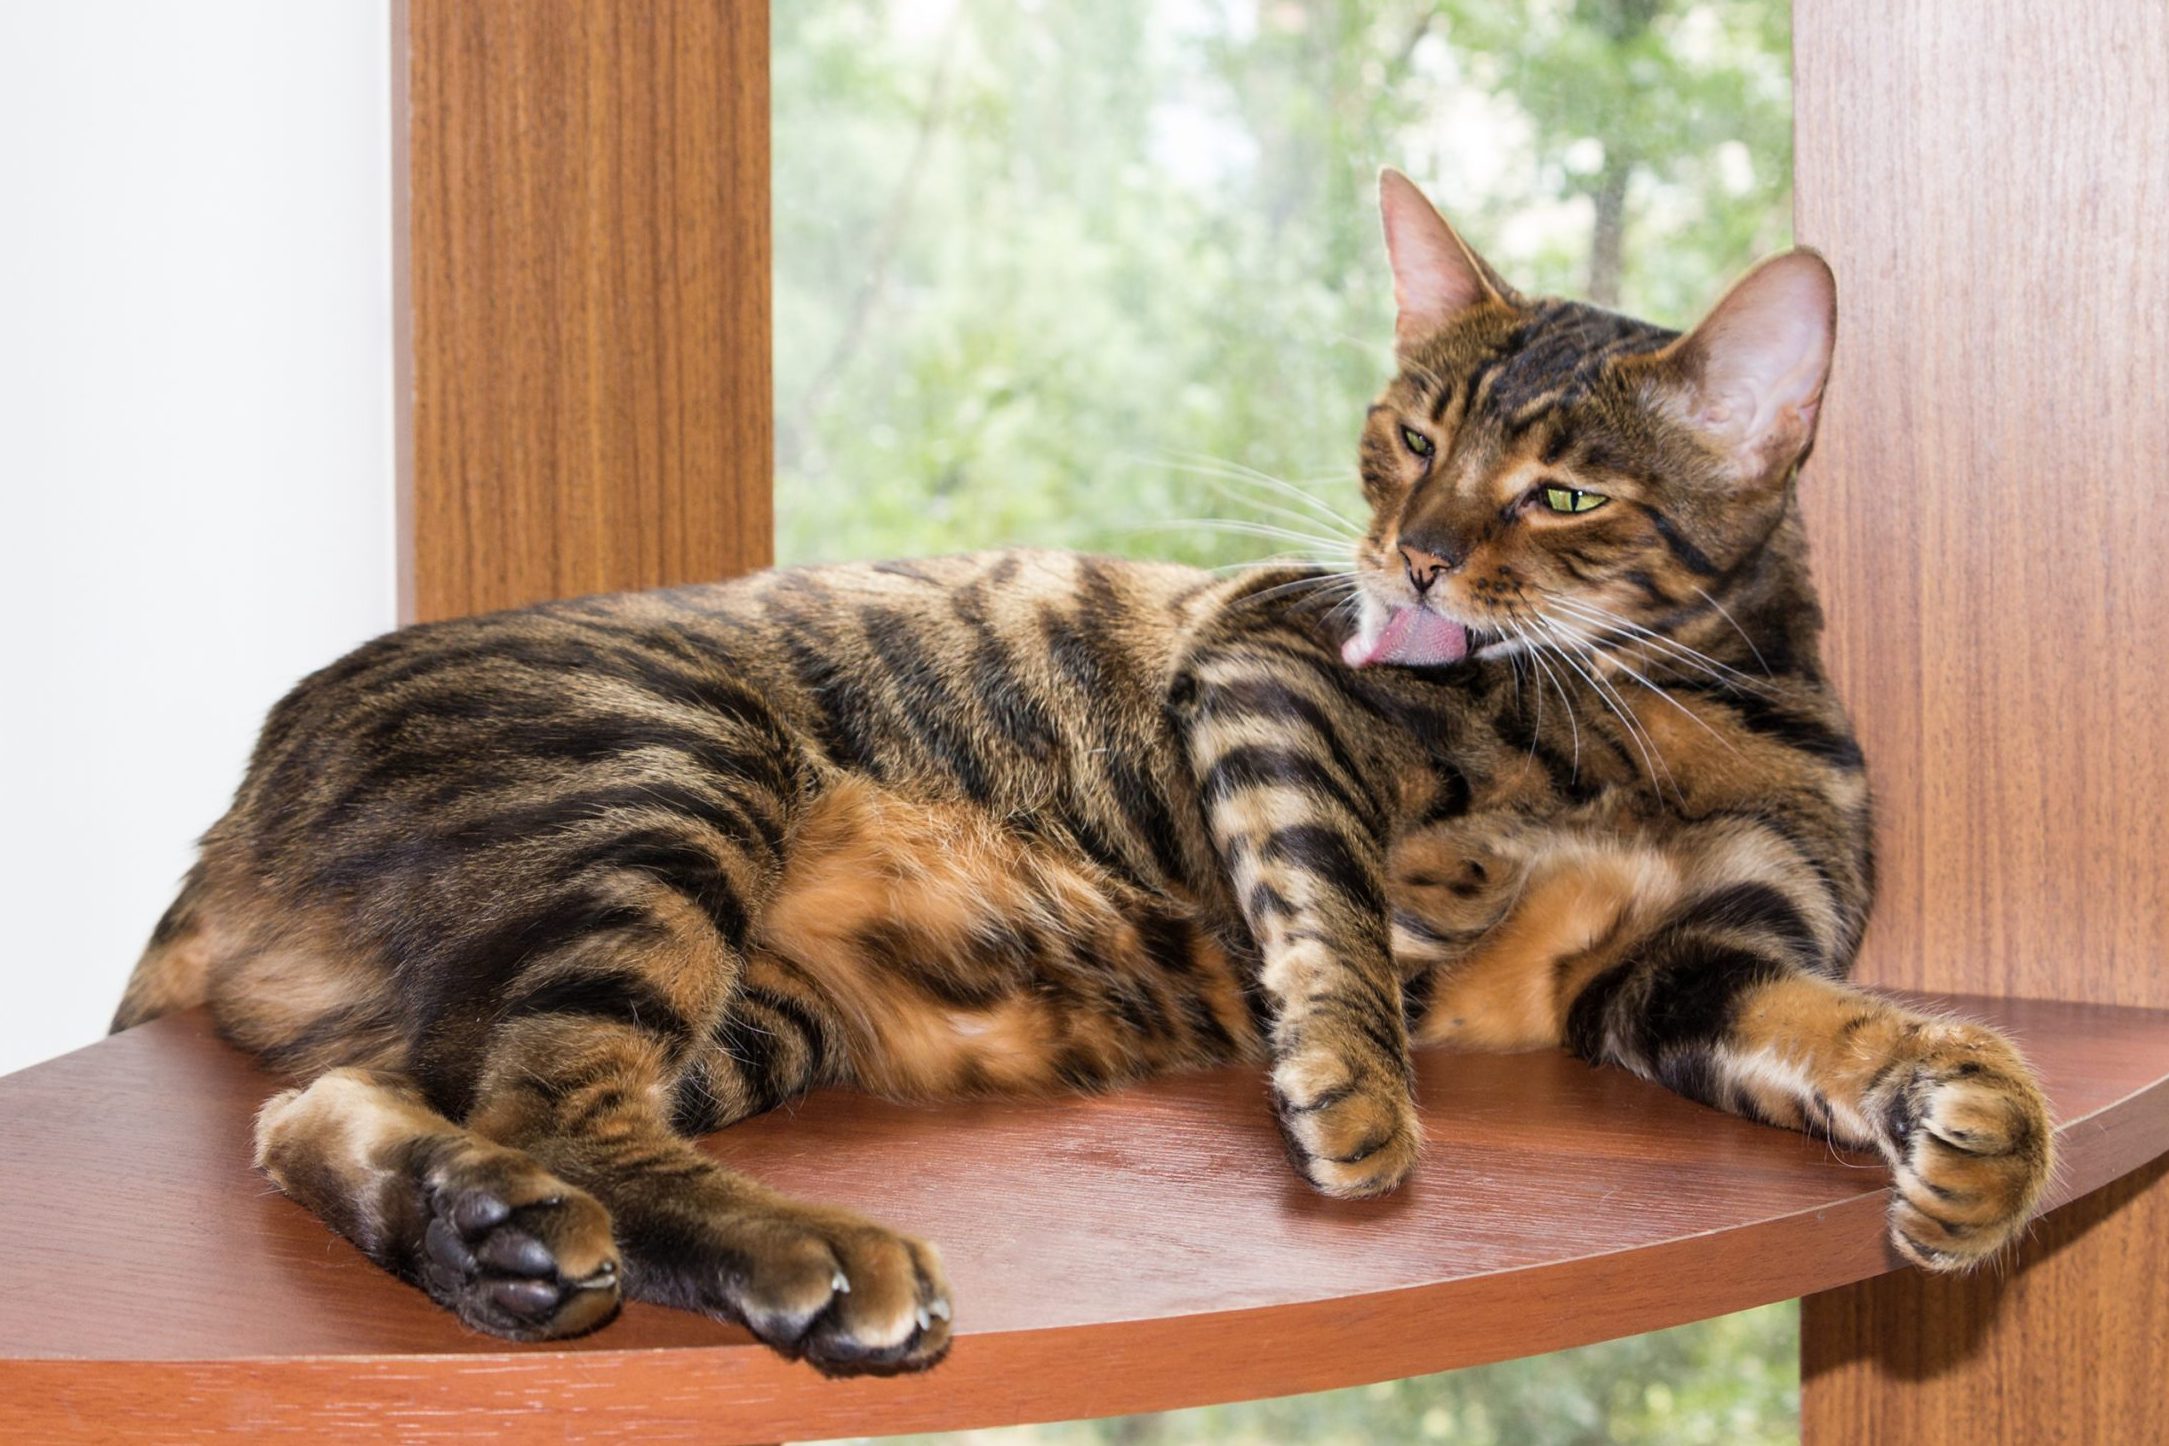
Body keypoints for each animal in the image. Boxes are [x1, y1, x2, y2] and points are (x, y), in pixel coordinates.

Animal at [114, 172, 2047, 1378]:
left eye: (1561, 493)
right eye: (1411, 434)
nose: (1411, 557)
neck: (1675, 710)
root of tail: (226, 826)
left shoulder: (1688, 965)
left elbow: (1861, 1033)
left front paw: (1975, 1136)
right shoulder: (1272, 665)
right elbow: (1330, 894)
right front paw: (1355, 1091)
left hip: (755, 1005)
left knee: (353, 1105)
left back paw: (501, 1235)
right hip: (670, 778)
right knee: (544, 1099)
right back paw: (810, 1256)